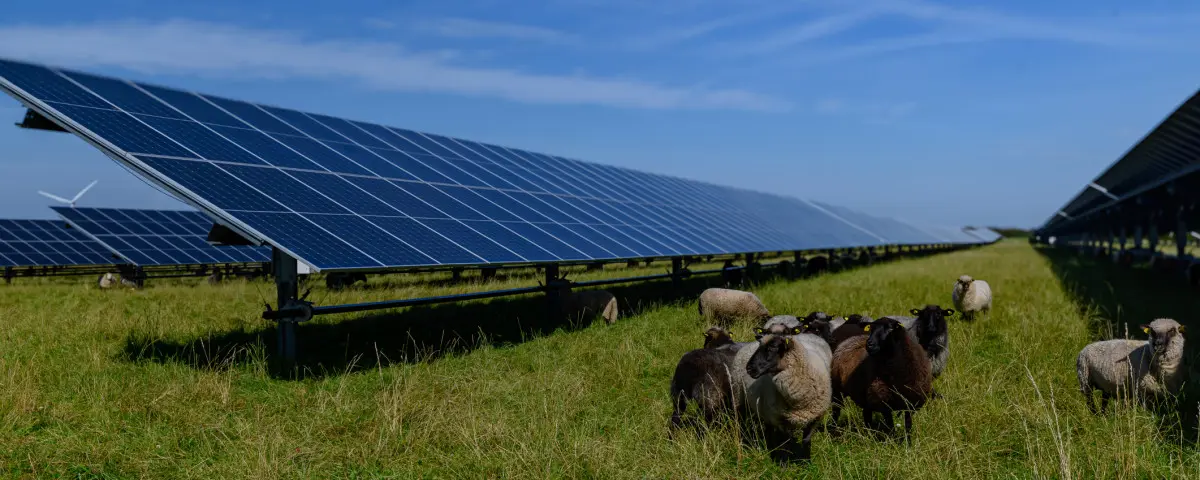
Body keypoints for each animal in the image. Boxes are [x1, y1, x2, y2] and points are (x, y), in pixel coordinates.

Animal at [739, 331, 835, 463]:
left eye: (772, 348)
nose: (749, 368)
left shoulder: (816, 417)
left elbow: (806, 440)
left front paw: (806, 462)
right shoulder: (780, 419)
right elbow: (785, 443)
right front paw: (783, 463)